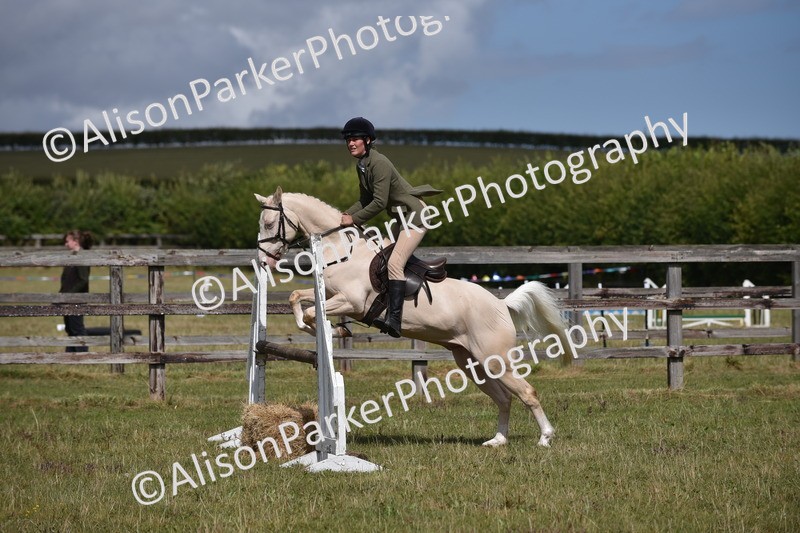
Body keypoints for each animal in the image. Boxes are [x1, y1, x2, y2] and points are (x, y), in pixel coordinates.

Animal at [254, 187, 569, 447]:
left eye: (269, 224)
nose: (263, 261)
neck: (342, 251)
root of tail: (501, 305)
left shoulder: (350, 302)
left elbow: (310, 312)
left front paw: (332, 332)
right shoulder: (330, 295)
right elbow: (297, 298)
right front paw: (335, 331)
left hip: (495, 359)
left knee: (527, 392)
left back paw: (545, 438)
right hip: (471, 362)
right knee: (504, 398)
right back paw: (498, 440)